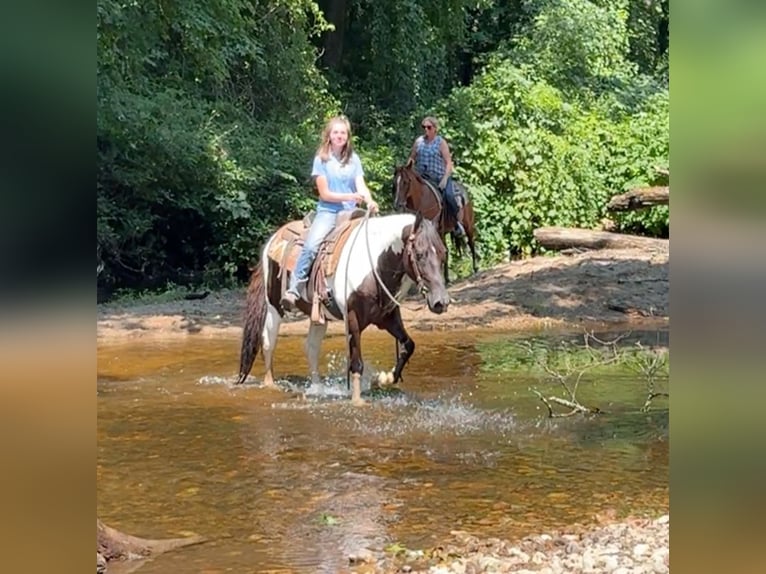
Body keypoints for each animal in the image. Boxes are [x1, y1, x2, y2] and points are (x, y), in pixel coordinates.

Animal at [238, 212, 450, 404]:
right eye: (420, 254)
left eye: (443, 253)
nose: (441, 302)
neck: (374, 265)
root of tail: (273, 238)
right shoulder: (353, 318)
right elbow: (356, 363)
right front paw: (357, 400)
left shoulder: (388, 317)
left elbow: (408, 345)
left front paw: (382, 379)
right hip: (274, 307)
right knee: (268, 342)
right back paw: (270, 384)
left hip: (318, 316)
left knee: (311, 348)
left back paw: (317, 387)